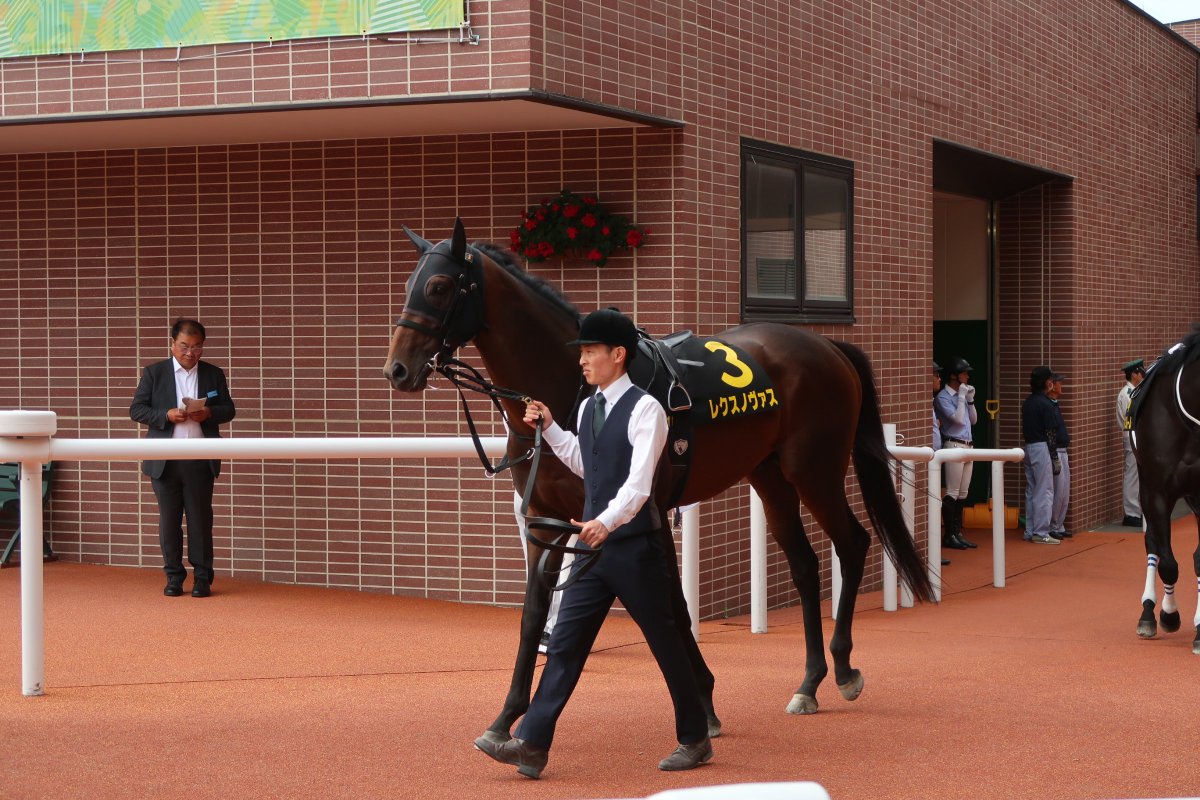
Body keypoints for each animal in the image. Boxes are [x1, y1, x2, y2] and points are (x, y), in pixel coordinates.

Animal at [382, 219, 936, 748]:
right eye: (407, 284)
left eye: (437, 286)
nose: (397, 370)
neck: (574, 387)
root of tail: (828, 346)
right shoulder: (548, 519)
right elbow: (535, 613)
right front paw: (506, 717)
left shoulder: (638, 509)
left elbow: (670, 604)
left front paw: (704, 705)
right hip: (770, 475)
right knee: (803, 565)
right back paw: (810, 682)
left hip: (813, 471)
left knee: (853, 542)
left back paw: (842, 670)